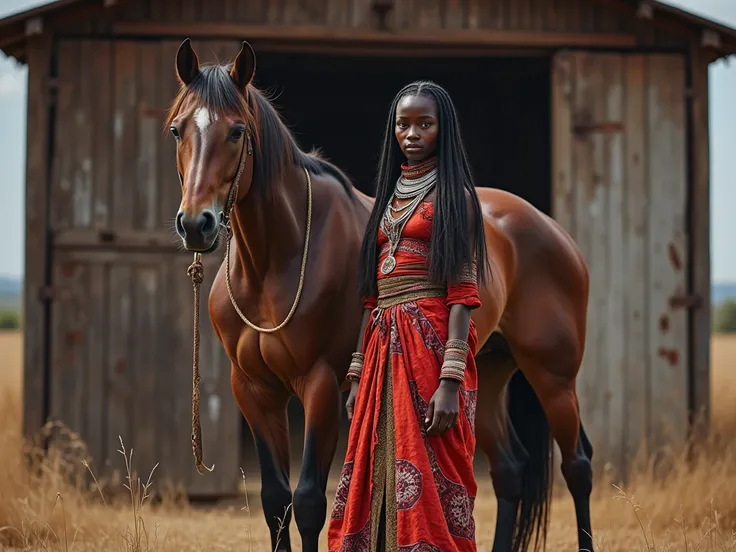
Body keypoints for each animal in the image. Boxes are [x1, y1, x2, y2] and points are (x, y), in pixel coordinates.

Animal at [165, 38, 592, 552]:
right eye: (176, 130)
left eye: (236, 131)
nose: (196, 224)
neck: (275, 261)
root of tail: (550, 229)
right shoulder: (253, 389)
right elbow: (275, 502)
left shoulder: (321, 385)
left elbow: (308, 502)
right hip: (486, 376)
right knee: (510, 469)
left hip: (554, 377)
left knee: (578, 466)